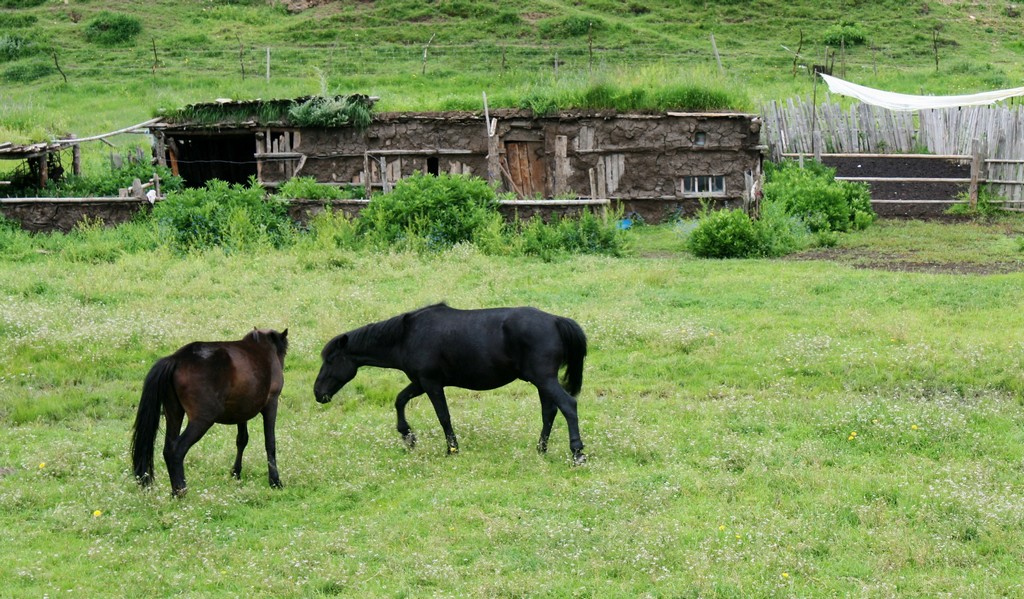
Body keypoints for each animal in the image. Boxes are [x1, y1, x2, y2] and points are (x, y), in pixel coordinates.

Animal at [130, 327, 288, 495]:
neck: (263, 349)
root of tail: (176, 359)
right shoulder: (271, 403)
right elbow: (270, 442)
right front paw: (275, 481)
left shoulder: (241, 411)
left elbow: (242, 440)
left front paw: (235, 473)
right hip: (202, 420)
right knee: (176, 450)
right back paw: (181, 491)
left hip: (174, 413)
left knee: (167, 449)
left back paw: (174, 492)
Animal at [311, 303, 589, 462]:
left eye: (331, 360)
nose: (318, 392)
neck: (406, 336)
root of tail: (555, 320)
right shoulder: (419, 382)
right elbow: (399, 400)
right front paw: (408, 436)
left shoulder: (431, 384)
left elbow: (443, 416)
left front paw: (451, 449)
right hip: (541, 382)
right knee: (549, 412)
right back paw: (541, 449)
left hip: (544, 379)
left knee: (568, 406)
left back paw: (577, 452)